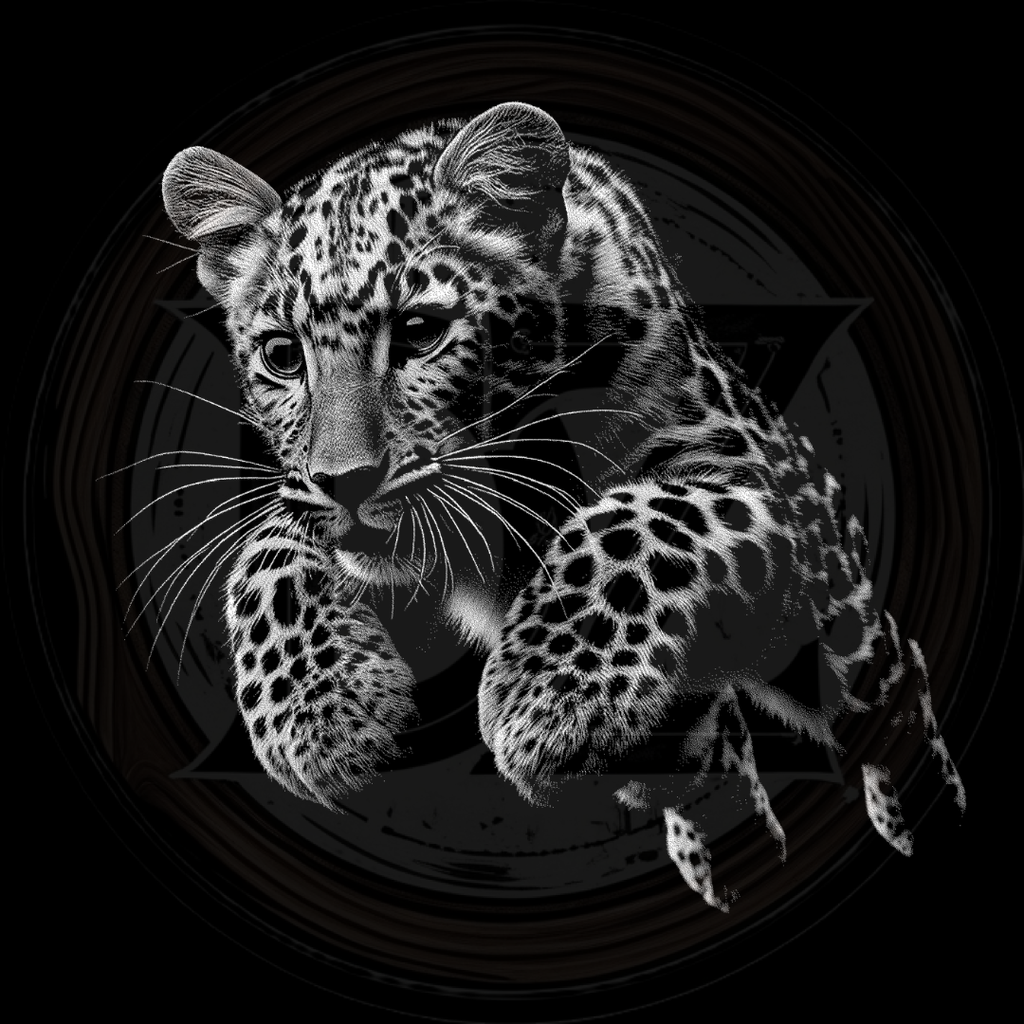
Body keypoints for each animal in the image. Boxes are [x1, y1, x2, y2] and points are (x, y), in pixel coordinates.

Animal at [160, 101, 966, 911]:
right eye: (281, 356)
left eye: (420, 333)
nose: (345, 481)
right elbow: (266, 548)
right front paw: (321, 715)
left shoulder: (747, 477)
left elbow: (631, 519)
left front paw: (545, 696)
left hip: (843, 617)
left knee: (891, 693)